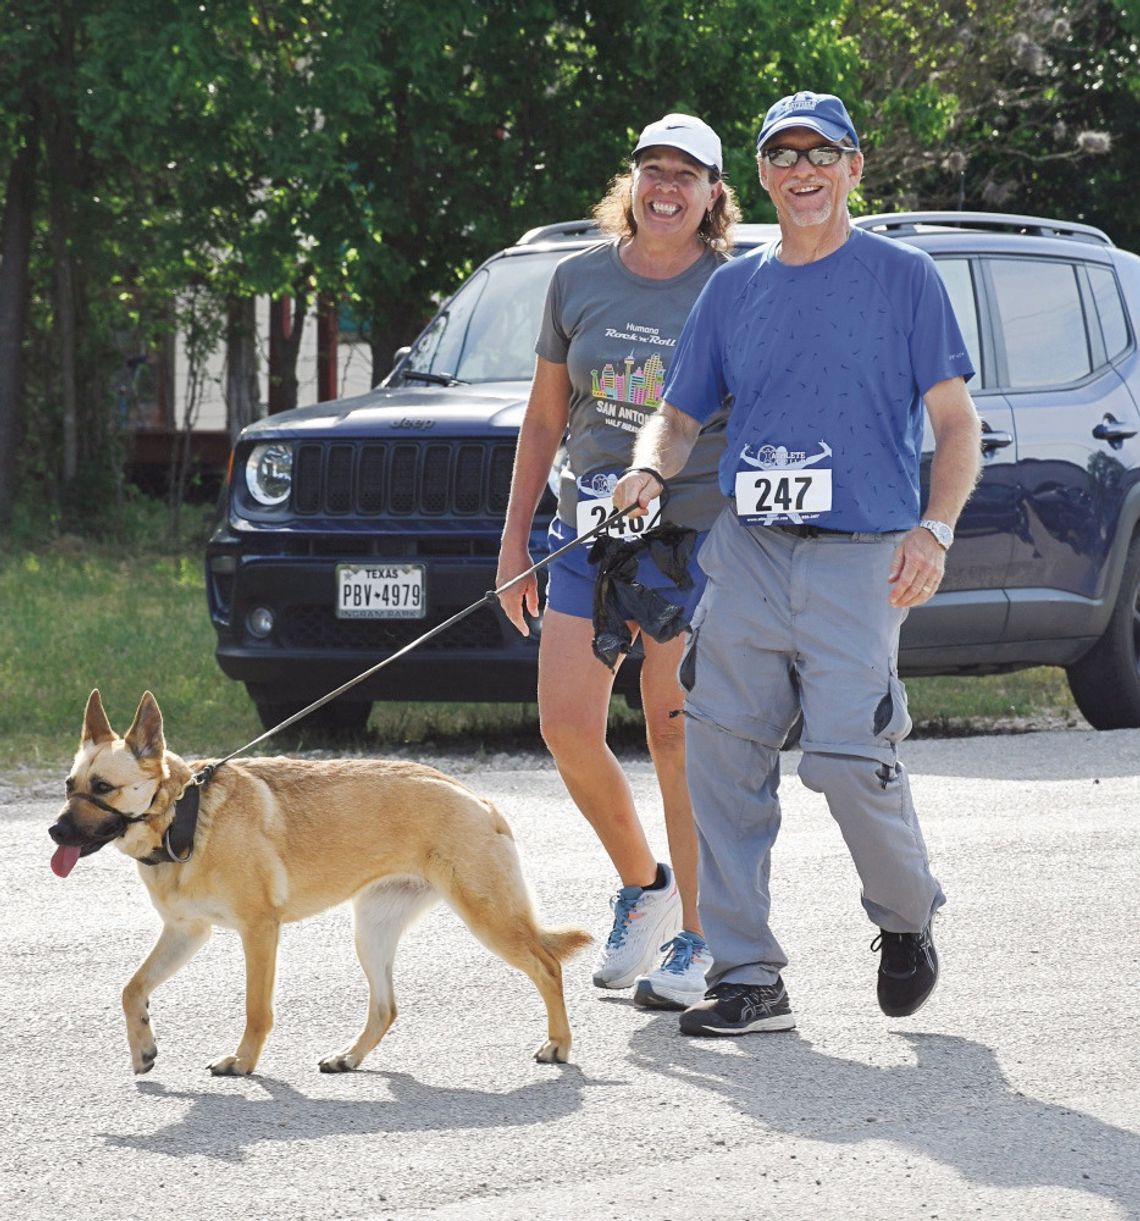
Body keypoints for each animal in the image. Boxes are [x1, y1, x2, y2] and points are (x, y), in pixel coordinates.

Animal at [49, 693, 593, 1074]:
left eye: (103, 788)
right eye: (69, 787)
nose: (54, 831)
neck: (186, 815)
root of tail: (476, 797)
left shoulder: (259, 932)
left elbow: (256, 1010)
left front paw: (243, 1063)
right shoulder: (187, 933)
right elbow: (132, 989)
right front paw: (143, 1047)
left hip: (487, 917)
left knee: (548, 968)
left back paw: (559, 1044)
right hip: (370, 934)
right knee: (386, 1008)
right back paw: (349, 1058)